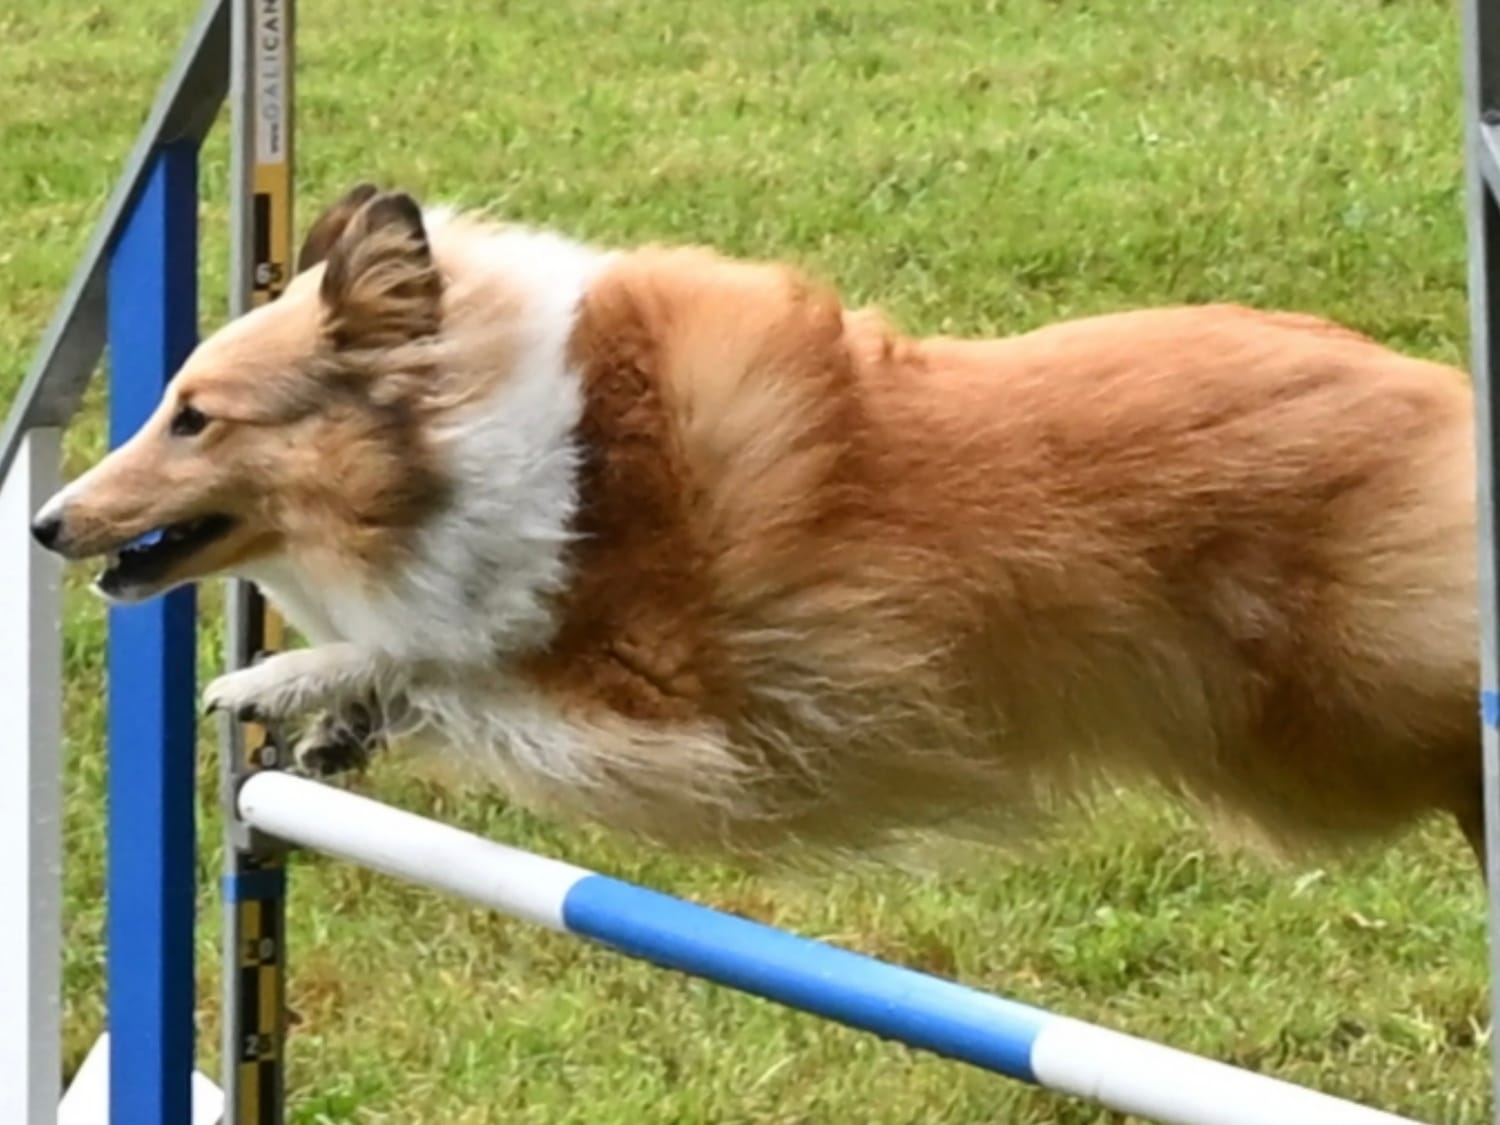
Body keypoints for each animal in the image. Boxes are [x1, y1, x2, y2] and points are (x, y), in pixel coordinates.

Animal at [30, 183, 1482, 865]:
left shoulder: (677, 715)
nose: (44, 524)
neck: (493, 440)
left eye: (194, 417)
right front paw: (333, 714)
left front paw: (281, 679)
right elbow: (430, 660)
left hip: (1344, 718)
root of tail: (1453, 394)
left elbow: (457, 663)